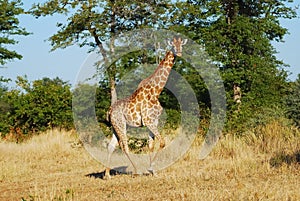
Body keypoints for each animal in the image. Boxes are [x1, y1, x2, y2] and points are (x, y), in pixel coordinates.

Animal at [104, 37, 186, 178]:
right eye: (173, 45)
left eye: (181, 45)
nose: (179, 53)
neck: (156, 91)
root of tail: (109, 112)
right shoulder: (149, 121)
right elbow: (162, 142)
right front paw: (151, 169)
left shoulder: (154, 121)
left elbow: (151, 145)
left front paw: (153, 171)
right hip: (121, 125)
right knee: (124, 146)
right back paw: (135, 171)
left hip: (115, 126)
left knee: (111, 146)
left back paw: (107, 175)